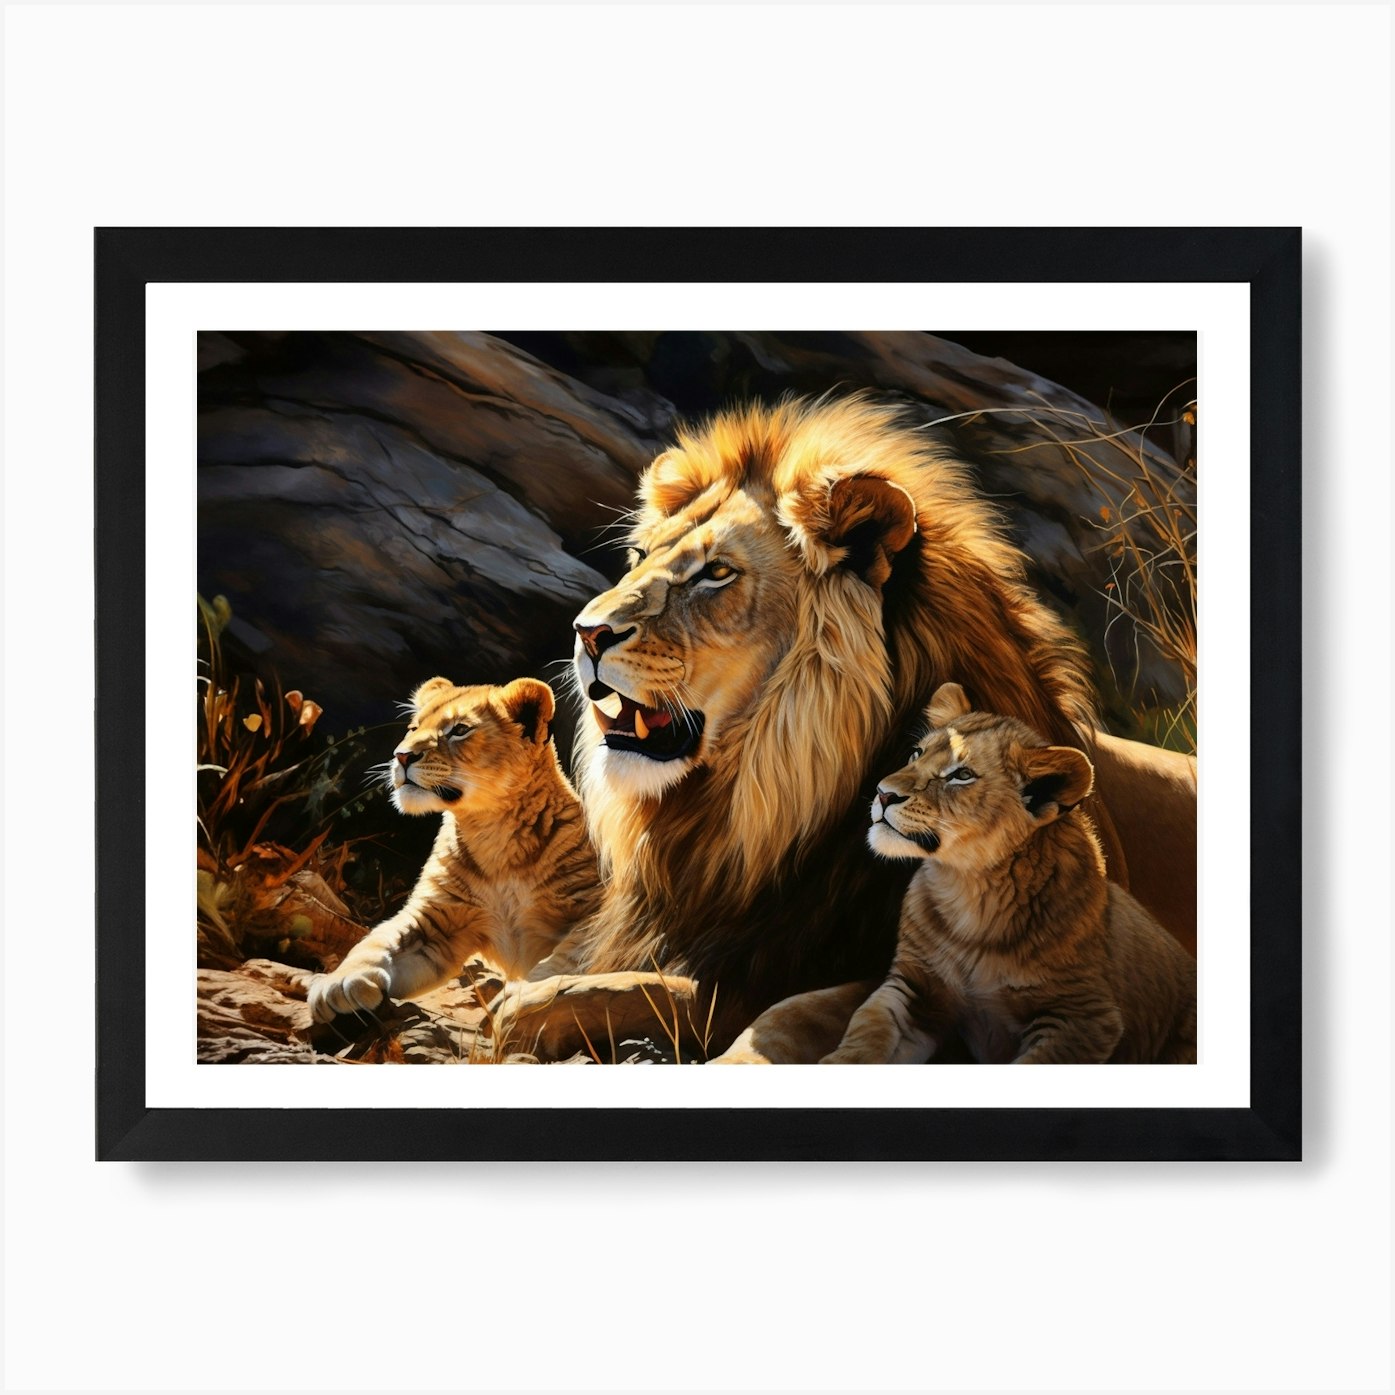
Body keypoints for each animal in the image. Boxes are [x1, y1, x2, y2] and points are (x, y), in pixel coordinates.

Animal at [307, 677, 599, 1023]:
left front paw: (524, 994)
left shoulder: (599, 910)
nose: (401, 756)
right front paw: (339, 982)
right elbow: (377, 941)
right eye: (413, 727)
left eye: (459, 730)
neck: (493, 834)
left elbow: (573, 956)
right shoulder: (434, 921)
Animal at [817, 683, 1195, 1065]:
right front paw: (840, 1060)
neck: (972, 891)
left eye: (962, 775)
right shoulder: (916, 987)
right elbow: (870, 1022)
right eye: (916, 754)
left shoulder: (1085, 1018)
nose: (882, 793)